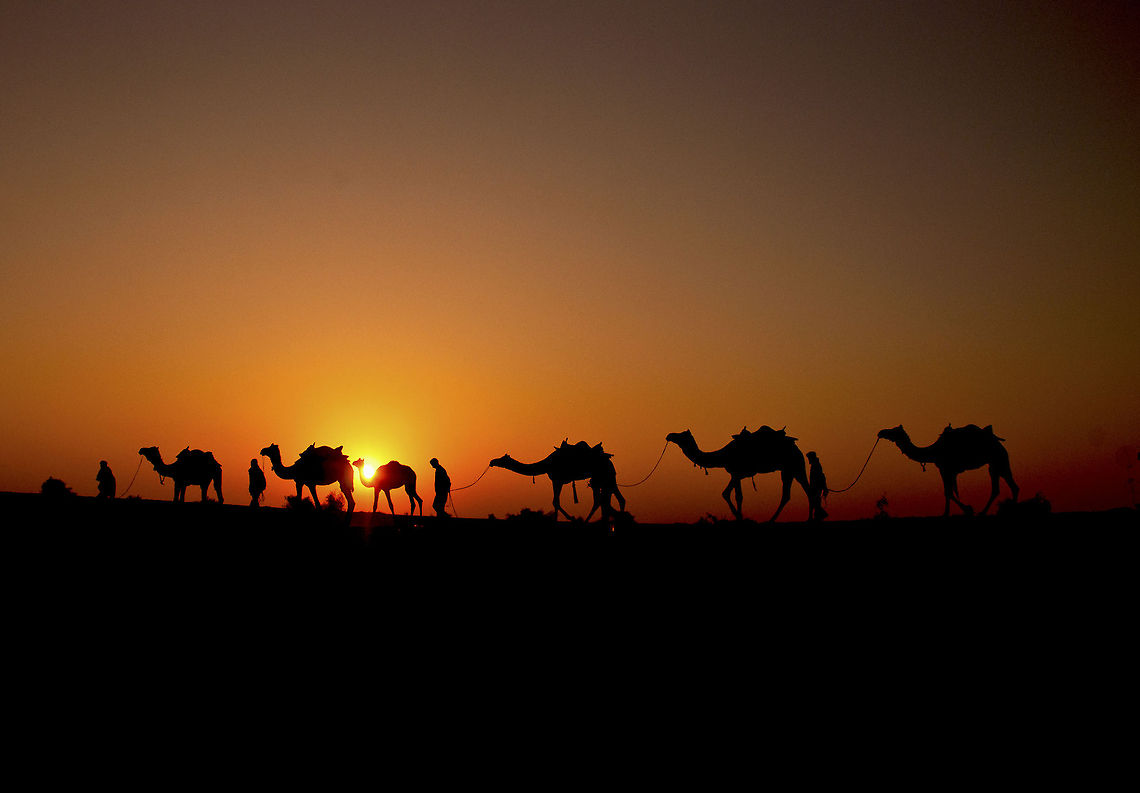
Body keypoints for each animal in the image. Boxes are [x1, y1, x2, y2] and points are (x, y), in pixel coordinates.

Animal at [490, 440, 626, 522]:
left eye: (502, 459)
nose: (492, 461)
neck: (546, 464)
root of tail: (609, 460)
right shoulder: (556, 481)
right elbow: (556, 502)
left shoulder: (556, 480)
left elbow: (555, 502)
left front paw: (569, 519)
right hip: (606, 478)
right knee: (614, 499)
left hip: (601, 477)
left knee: (602, 500)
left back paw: (587, 521)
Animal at [665, 426, 812, 522]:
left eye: (681, 435)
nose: (669, 435)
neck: (723, 456)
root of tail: (795, 446)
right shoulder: (735, 475)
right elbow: (726, 493)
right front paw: (738, 517)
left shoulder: (736, 473)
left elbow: (738, 496)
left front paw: (740, 518)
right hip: (788, 470)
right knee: (789, 494)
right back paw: (773, 520)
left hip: (796, 466)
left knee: (807, 490)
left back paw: (807, 519)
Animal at [877, 424, 1018, 517]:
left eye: (894, 431)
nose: (881, 432)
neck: (933, 451)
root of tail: (999, 442)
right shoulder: (945, 470)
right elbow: (948, 492)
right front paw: (959, 510)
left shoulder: (946, 469)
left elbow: (948, 492)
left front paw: (961, 510)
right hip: (995, 464)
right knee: (1002, 488)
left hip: (998, 459)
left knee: (1007, 487)